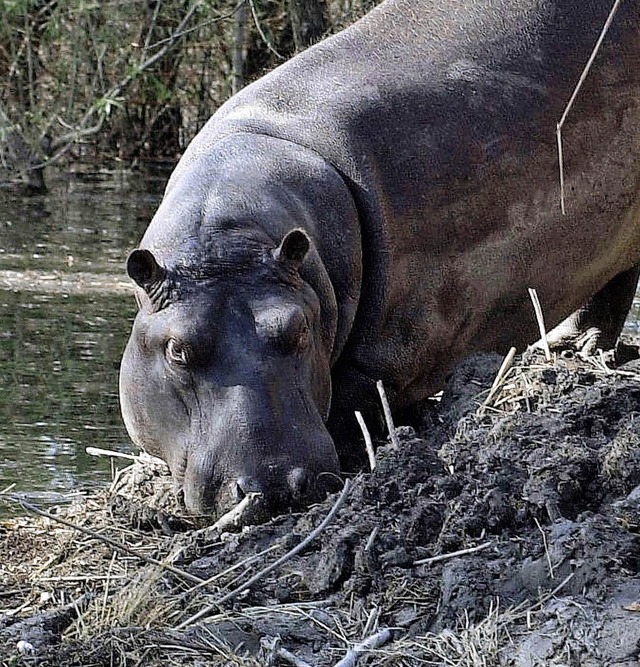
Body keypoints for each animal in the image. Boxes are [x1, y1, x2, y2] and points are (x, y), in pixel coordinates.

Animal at [119, 0, 640, 520]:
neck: (230, 235)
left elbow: (354, 406)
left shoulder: (389, 353)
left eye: (299, 329)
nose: (277, 483)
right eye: (177, 349)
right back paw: (572, 347)